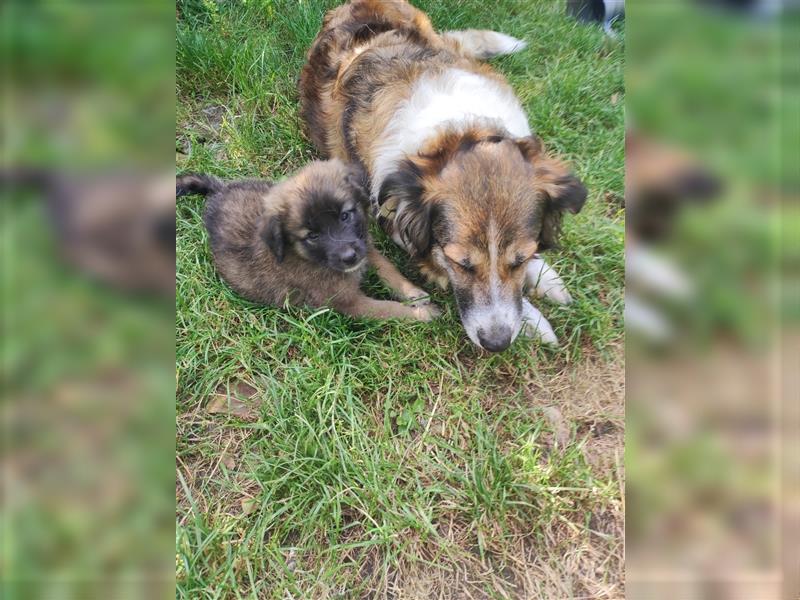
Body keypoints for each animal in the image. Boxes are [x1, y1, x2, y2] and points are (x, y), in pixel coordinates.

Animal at [176, 157, 440, 322]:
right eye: (312, 235)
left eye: (345, 215)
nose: (349, 257)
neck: (310, 258)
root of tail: (219, 192)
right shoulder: (350, 302)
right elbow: (390, 309)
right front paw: (422, 314)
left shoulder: (365, 245)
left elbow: (389, 269)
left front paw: (414, 293)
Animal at [300, 0, 588, 352]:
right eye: (462, 264)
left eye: (518, 260)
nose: (496, 344)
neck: (455, 131)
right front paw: (534, 320)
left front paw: (544, 277)